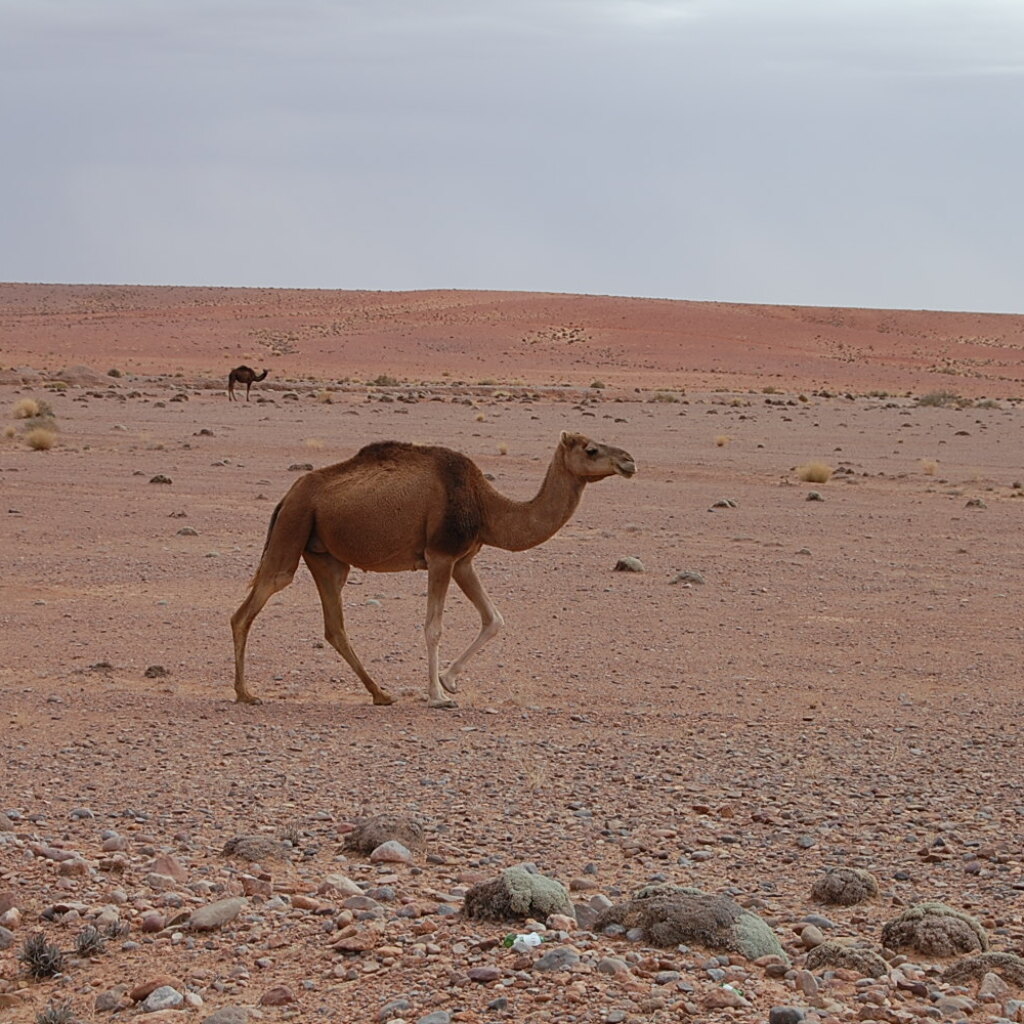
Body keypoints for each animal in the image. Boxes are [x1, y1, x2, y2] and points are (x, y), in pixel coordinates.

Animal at [231, 431, 637, 709]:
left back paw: (380, 694)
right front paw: (438, 695)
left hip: (326, 556)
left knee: (334, 626)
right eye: (591, 449)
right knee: (250, 607)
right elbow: (433, 627)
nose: (629, 461)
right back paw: (245, 693)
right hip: (294, 528)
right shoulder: (441, 555)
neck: (486, 506)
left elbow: (494, 618)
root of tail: (289, 495)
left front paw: (449, 680)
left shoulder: (463, 560)